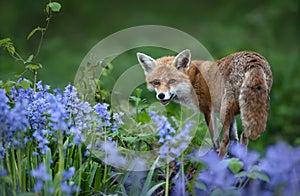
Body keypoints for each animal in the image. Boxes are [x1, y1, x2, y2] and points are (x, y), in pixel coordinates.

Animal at [137, 49, 274, 156]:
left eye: (172, 81)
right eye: (156, 82)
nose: (161, 95)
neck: (192, 80)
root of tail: (255, 61)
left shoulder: (208, 110)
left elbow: (215, 141)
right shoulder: (232, 114)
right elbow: (234, 138)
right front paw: (235, 159)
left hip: (225, 111)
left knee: (225, 139)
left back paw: (219, 162)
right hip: (243, 113)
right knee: (244, 137)